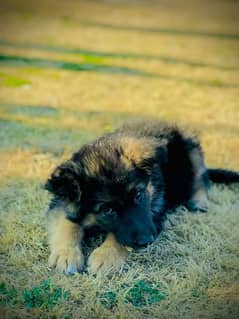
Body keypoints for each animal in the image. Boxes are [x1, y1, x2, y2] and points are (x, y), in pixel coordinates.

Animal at [45, 120, 239, 276]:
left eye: (138, 195)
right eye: (108, 210)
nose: (147, 241)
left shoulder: (154, 213)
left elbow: (118, 238)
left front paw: (106, 256)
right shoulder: (62, 202)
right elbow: (67, 223)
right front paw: (66, 254)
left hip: (191, 148)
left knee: (201, 177)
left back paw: (199, 201)